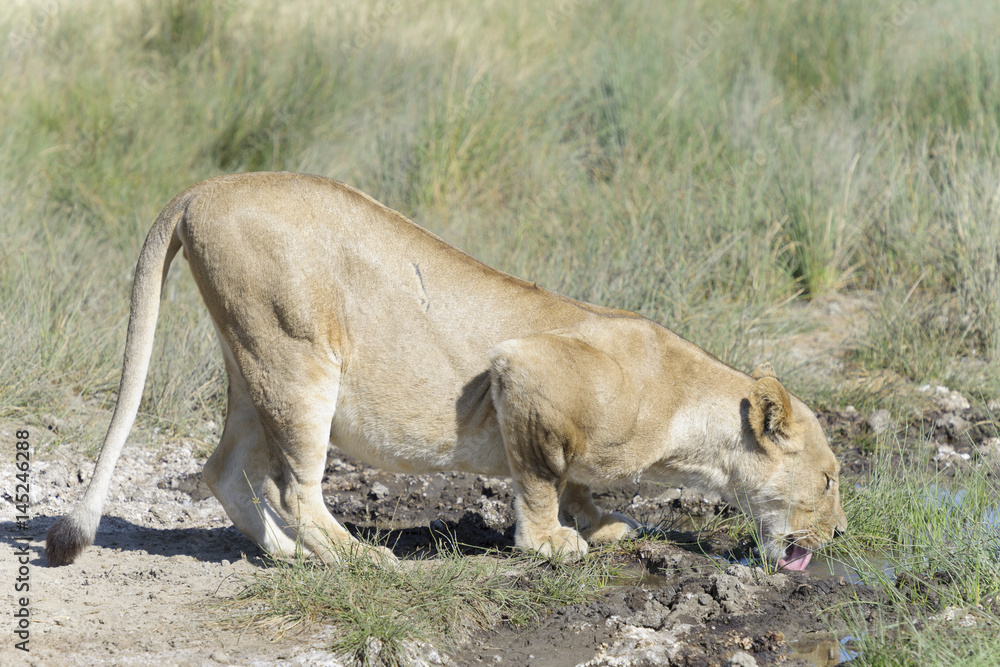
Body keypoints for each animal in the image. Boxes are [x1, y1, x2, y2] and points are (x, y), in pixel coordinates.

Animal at [46, 171, 846, 570]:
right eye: (831, 478)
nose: (838, 537)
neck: (691, 424)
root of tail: (200, 189)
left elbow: (579, 484)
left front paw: (607, 525)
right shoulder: (523, 370)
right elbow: (541, 479)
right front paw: (552, 544)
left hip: (252, 361)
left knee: (225, 471)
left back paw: (292, 558)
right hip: (297, 357)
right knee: (292, 485)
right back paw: (359, 558)